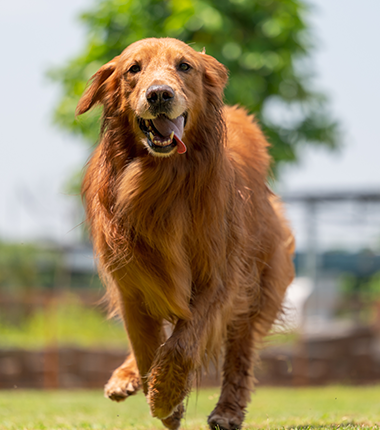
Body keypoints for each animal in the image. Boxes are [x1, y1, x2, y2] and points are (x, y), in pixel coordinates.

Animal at [76, 37, 294, 430]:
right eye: (133, 68)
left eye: (184, 66)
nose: (159, 94)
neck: (161, 181)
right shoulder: (131, 283)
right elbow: (146, 348)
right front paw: (162, 396)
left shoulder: (220, 279)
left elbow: (182, 344)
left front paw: (165, 398)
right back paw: (124, 378)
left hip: (259, 283)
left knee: (240, 351)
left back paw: (227, 411)